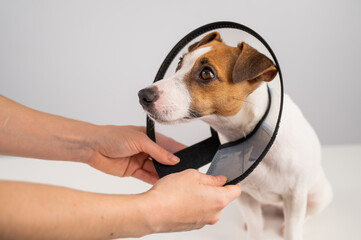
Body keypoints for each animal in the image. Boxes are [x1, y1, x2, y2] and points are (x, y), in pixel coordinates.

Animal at [138, 32, 332, 240]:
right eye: (179, 64)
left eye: (206, 73)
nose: (143, 95)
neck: (249, 139)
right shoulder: (245, 196)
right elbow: (256, 226)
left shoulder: (295, 197)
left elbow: (292, 231)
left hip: (318, 196)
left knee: (306, 214)